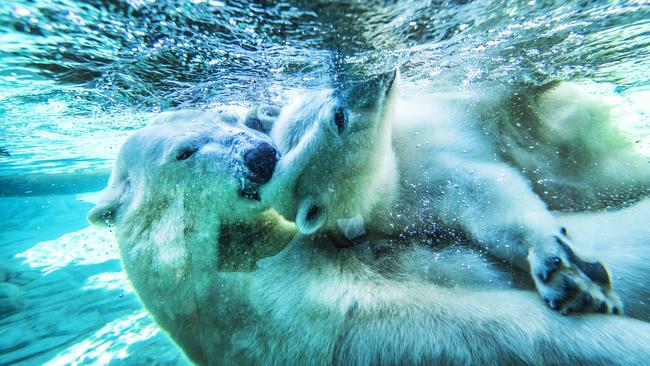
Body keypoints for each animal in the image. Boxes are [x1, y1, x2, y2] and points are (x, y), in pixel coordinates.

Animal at [260, 71, 648, 314]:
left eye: (320, 94)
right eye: (338, 115)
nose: (377, 76)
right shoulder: (424, 190)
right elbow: (488, 200)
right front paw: (569, 278)